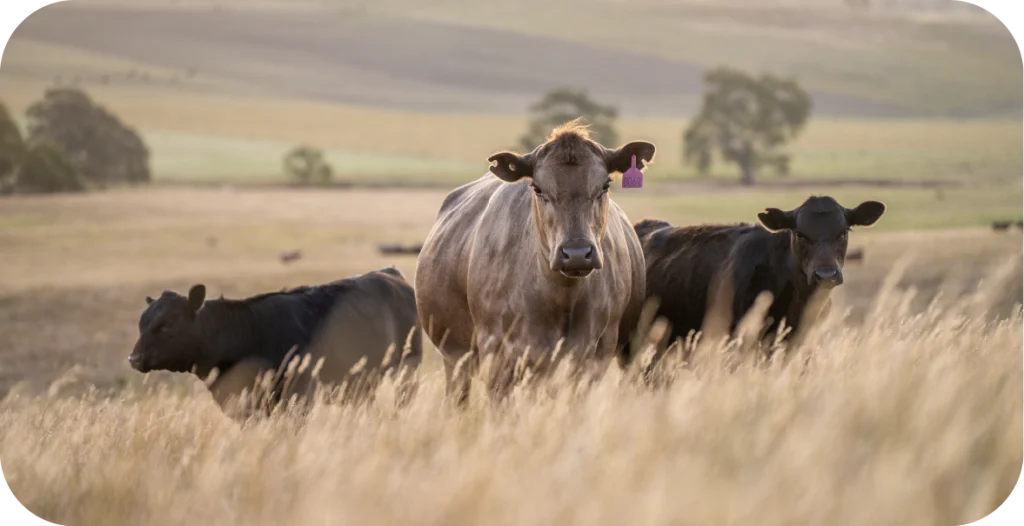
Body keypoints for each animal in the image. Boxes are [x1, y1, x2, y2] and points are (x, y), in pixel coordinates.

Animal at [127, 267, 422, 420]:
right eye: (141, 323)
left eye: (166, 324)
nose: (134, 358)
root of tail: (389, 274)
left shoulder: (297, 399)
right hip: (360, 383)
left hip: (407, 368)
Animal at [414, 121, 654, 408]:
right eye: (538, 189)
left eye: (605, 185)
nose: (576, 253)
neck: (561, 297)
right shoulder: (497, 355)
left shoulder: (594, 356)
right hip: (455, 357)